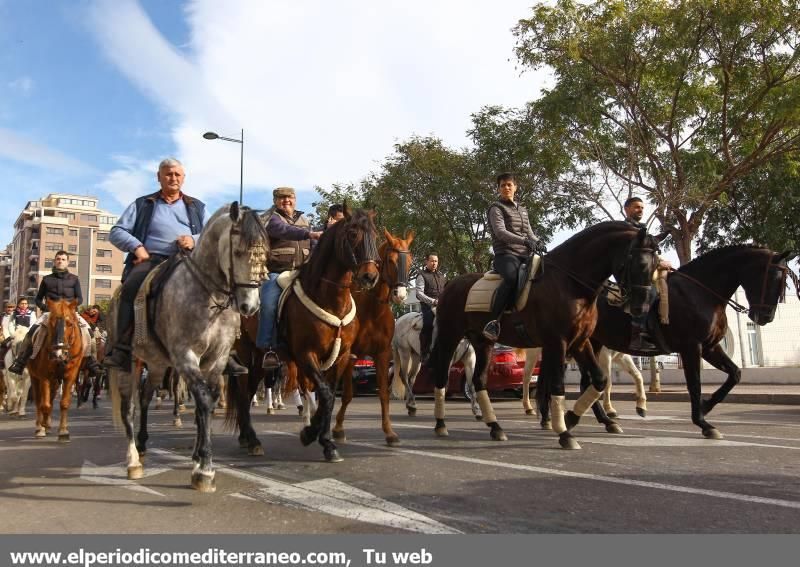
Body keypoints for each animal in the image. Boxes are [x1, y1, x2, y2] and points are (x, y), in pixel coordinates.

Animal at [27, 300, 83, 442]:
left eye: (70, 324)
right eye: (51, 323)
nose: (58, 353)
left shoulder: (70, 377)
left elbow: (64, 403)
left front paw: (63, 431)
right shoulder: (44, 376)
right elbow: (44, 404)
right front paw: (43, 426)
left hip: (55, 381)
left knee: (51, 399)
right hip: (34, 377)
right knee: (39, 401)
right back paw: (40, 427)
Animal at [109, 204, 268, 492]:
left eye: (265, 254)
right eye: (239, 251)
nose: (250, 306)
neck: (210, 297)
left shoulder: (216, 360)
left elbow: (207, 403)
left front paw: (197, 458)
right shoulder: (185, 356)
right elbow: (203, 401)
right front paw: (204, 469)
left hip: (157, 364)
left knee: (146, 396)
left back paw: (143, 442)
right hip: (131, 364)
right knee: (129, 406)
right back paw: (133, 460)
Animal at [332, 229, 416, 446]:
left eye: (410, 261)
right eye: (391, 260)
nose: (400, 295)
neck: (371, 310)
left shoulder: (382, 354)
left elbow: (384, 394)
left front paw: (389, 432)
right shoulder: (350, 355)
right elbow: (347, 394)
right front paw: (338, 429)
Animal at [576, 245, 792, 440]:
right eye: (774, 278)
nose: (765, 317)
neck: (699, 293)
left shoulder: (709, 347)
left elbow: (735, 374)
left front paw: (706, 406)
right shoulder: (691, 347)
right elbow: (695, 384)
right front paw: (703, 423)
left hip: (595, 344)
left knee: (589, 381)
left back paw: (605, 421)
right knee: (590, 381)